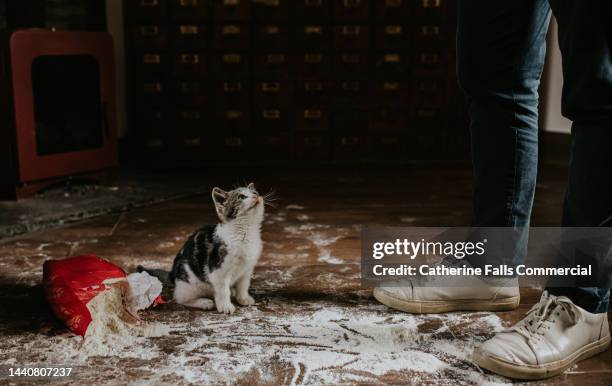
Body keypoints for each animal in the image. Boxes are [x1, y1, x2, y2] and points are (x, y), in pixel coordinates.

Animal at [140, 183, 264, 314]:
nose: (256, 196)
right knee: (180, 298)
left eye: (255, 192)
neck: (246, 232)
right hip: (189, 282)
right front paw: (225, 306)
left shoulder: (247, 268)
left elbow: (243, 285)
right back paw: (204, 302)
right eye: (241, 197)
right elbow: (223, 290)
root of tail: (172, 274)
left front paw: (243, 298)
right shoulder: (218, 270)